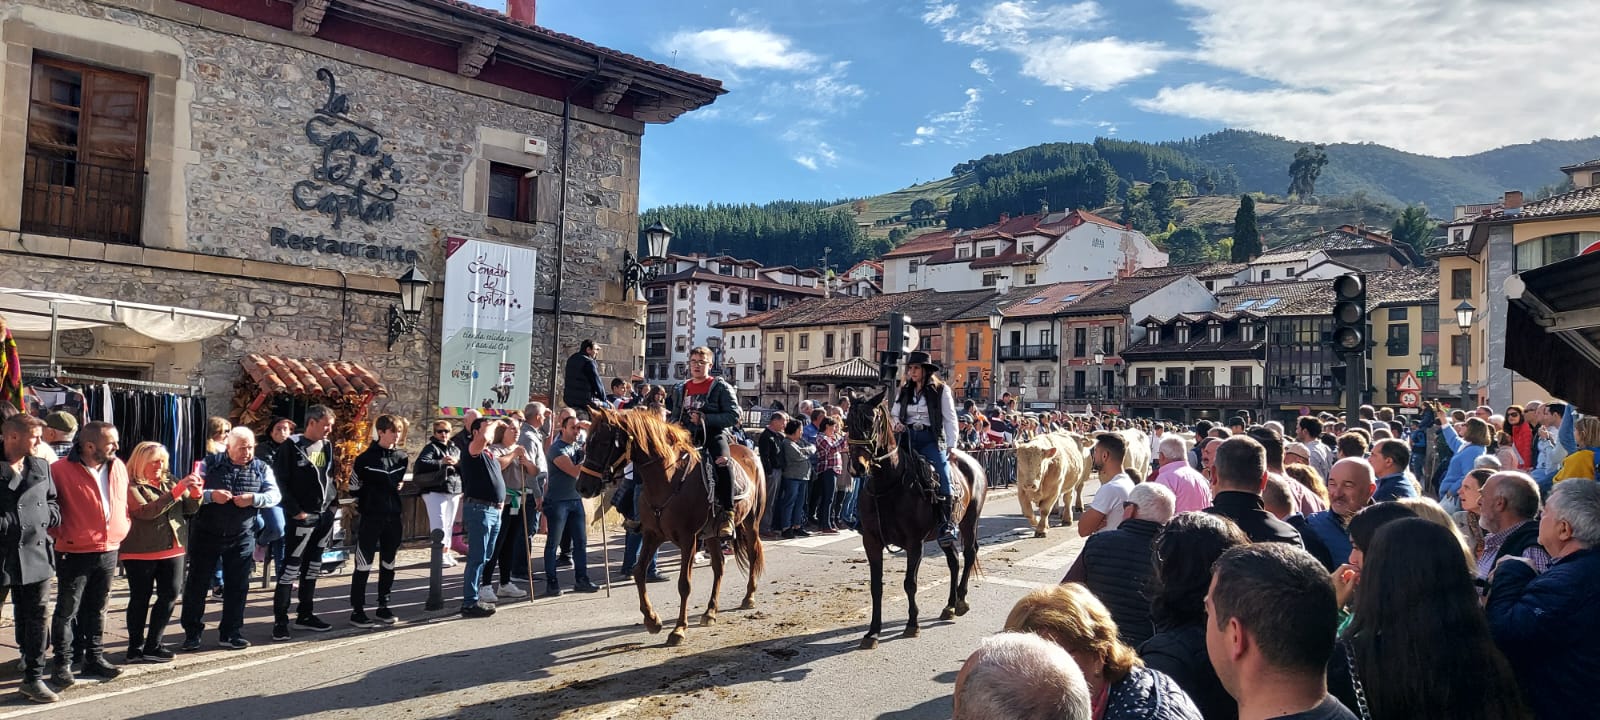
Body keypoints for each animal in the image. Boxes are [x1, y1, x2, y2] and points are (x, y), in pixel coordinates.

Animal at [579, 404, 764, 646]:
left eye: (602, 443)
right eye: (586, 443)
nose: (582, 487)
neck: (668, 479)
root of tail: (749, 451)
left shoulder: (688, 539)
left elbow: (684, 584)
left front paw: (678, 629)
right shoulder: (652, 534)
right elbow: (639, 572)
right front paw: (652, 620)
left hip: (751, 522)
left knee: (752, 554)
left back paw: (749, 597)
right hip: (713, 534)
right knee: (719, 566)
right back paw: (710, 612)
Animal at [844, 390, 979, 649]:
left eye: (870, 422)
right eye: (846, 423)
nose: (857, 467)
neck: (888, 485)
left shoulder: (914, 544)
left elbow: (910, 583)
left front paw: (912, 624)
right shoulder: (871, 542)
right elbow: (876, 586)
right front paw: (872, 632)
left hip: (969, 521)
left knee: (969, 554)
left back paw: (961, 601)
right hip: (944, 533)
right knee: (953, 560)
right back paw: (949, 605)